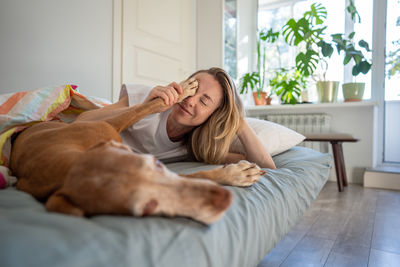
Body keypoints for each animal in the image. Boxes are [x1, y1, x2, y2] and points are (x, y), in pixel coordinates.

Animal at [9, 79, 266, 224]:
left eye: (157, 164)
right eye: (145, 209)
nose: (222, 200)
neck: (61, 165)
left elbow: (148, 106)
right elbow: (193, 175)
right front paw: (236, 174)